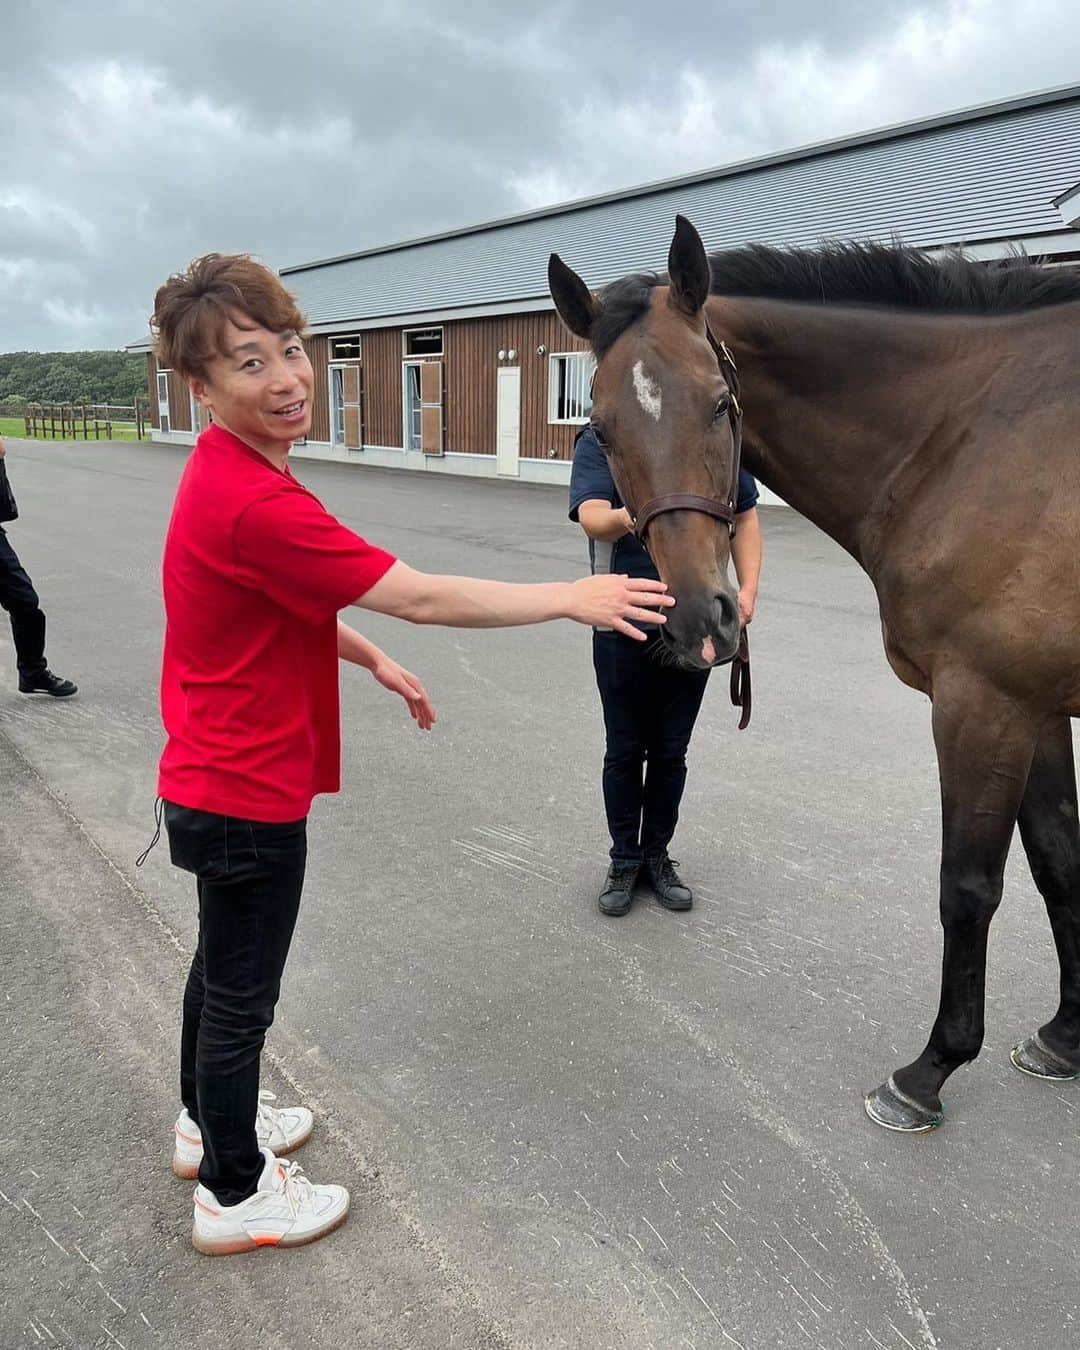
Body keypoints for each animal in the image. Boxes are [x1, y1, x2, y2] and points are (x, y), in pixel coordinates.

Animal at [553, 218, 1080, 1128]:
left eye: (720, 405)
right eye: (603, 430)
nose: (699, 622)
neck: (972, 435)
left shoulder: (985, 705)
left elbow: (968, 886)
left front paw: (929, 1071)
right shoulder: (1036, 706)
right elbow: (1059, 862)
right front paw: (1067, 1037)